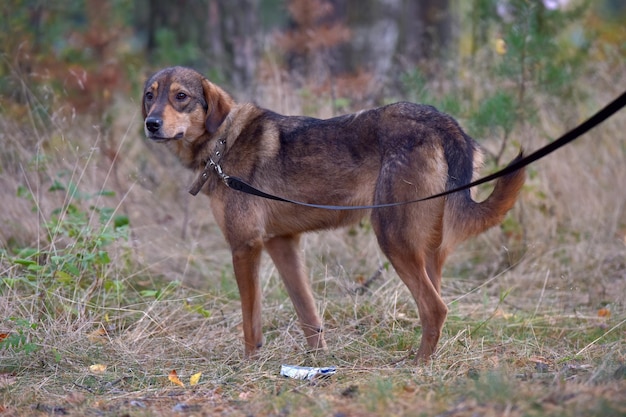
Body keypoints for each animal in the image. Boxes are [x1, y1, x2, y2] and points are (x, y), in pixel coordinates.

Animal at [140, 65, 520, 360]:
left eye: (181, 96)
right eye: (149, 95)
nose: (151, 124)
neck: (223, 142)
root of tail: (443, 122)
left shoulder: (245, 246)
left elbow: (251, 321)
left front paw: (248, 364)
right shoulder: (282, 244)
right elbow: (308, 314)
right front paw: (318, 362)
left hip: (393, 239)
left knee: (435, 308)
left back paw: (417, 365)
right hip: (427, 251)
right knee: (434, 306)